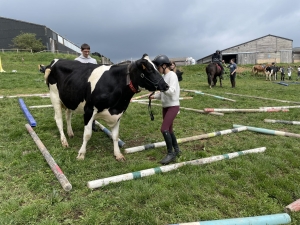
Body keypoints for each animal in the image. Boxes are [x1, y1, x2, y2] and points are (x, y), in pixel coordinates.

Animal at [39, 54, 169, 160]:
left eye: (156, 68)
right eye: (149, 69)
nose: (166, 85)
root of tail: (54, 61)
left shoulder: (118, 112)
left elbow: (115, 136)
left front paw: (118, 154)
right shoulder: (89, 110)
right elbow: (87, 134)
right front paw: (81, 154)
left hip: (69, 99)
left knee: (68, 116)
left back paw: (70, 133)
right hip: (55, 97)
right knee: (59, 120)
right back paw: (64, 141)